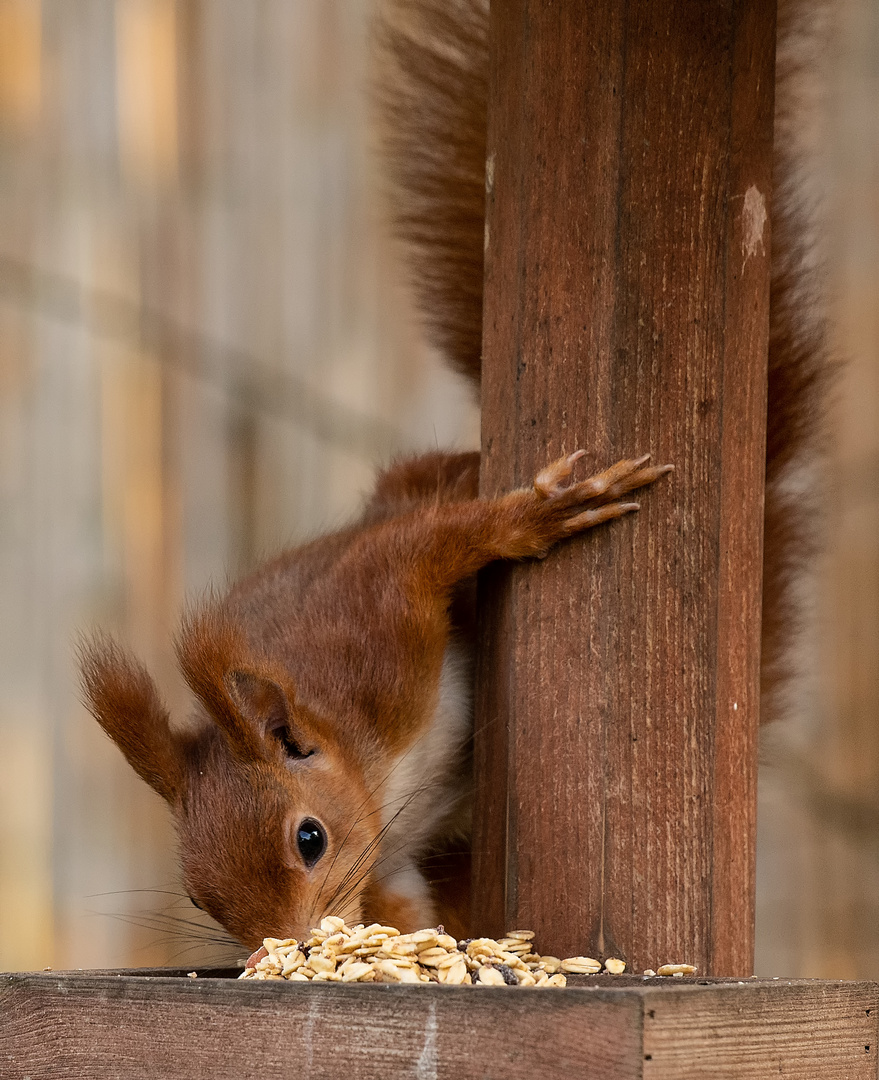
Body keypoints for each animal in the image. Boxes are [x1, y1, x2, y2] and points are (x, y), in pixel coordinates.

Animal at [77, 0, 825, 946]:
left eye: (309, 838)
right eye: (197, 896)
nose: (288, 948)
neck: (366, 756)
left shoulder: (376, 627)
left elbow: (429, 549)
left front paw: (535, 516)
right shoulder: (390, 858)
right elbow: (401, 905)